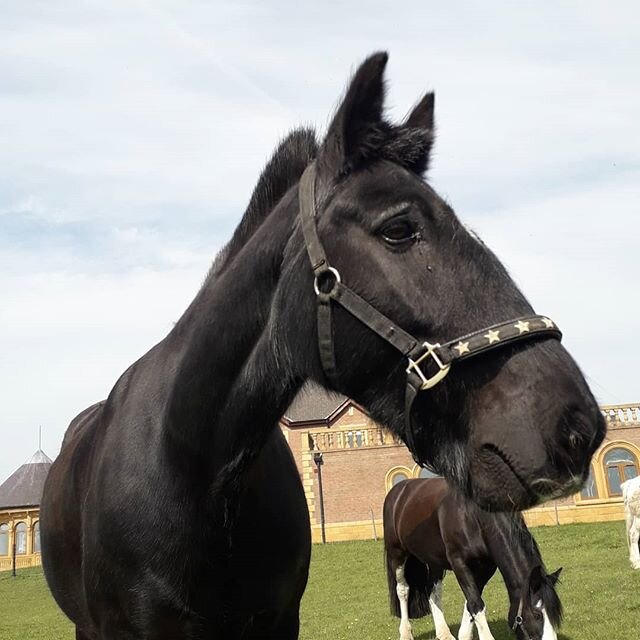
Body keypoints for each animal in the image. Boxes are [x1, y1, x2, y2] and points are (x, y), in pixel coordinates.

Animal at [384, 478, 560, 640]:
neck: (472, 515)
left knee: (433, 592)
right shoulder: (459, 563)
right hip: (397, 554)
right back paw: (405, 633)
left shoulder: (485, 568)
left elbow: (471, 602)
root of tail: (398, 490)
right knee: (403, 590)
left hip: (435, 562)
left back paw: (444, 634)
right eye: (537, 614)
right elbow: (476, 604)